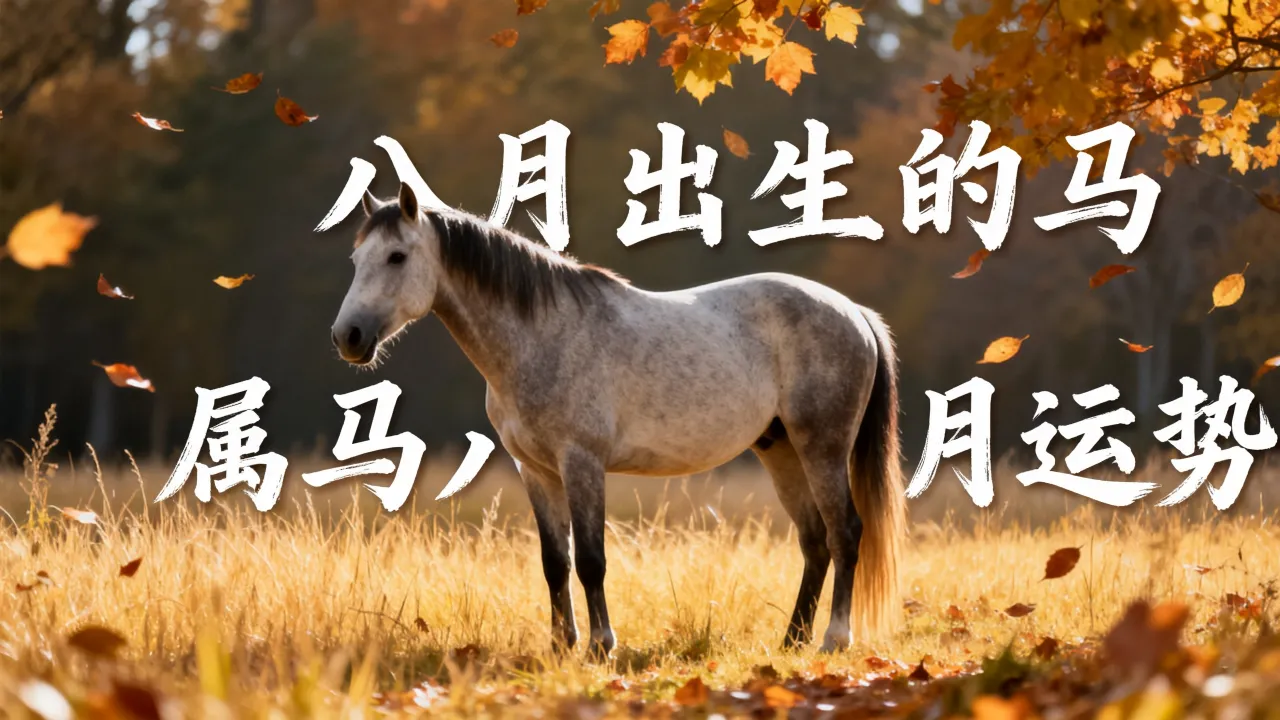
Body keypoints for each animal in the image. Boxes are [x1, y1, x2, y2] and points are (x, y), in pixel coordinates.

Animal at [328, 182, 906, 656]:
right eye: (355, 258)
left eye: (397, 256)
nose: (348, 337)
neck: (540, 335)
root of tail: (854, 313)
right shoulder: (535, 471)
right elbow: (554, 561)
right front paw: (561, 646)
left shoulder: (581, 463)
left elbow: (590, 558)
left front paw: (601, 645)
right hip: (781, 450)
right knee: (814, 540)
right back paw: (791, 640)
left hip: (822, 448)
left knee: (845, 532)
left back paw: (833, 639)